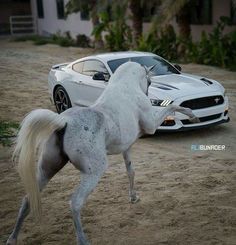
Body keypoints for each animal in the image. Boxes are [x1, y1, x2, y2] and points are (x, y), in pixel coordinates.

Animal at [6, 61, 199, 245]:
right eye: (149, 81)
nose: (147, 92)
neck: (126, 87)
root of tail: (64, 121)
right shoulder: (151, 125)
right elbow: (172, 107)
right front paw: (192, 115)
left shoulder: (126, 147)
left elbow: (131, 171)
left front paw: (133, 197)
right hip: (93, 172)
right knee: (75, 203)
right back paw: (83, 240)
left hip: (47, 169)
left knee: (28, 199)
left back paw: (12, 239)